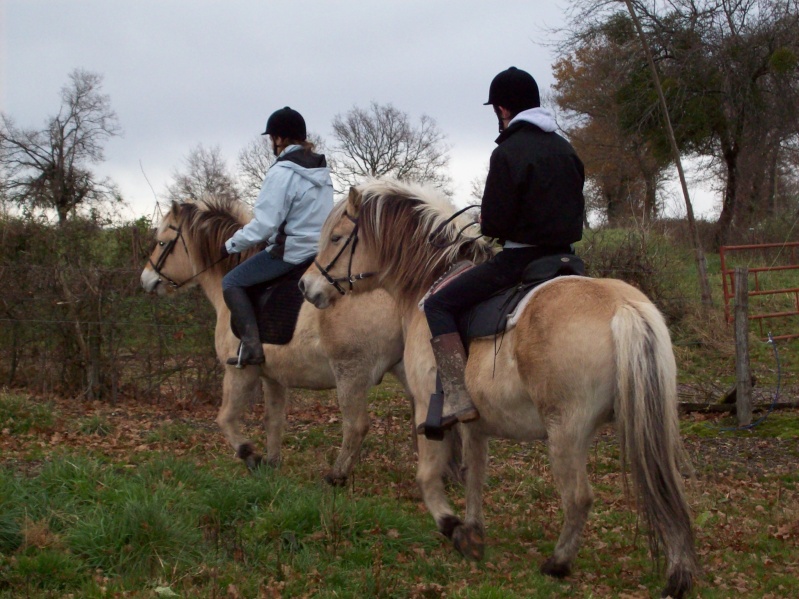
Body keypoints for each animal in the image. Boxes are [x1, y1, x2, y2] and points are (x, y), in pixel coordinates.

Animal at [141, 195, 412, 486]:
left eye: (162, 242)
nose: (145, 280)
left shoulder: (239, 372)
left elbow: (225, 419)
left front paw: (249, 454)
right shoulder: (273, 377)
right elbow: (273, 420)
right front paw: (271, 464)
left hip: (350, 373)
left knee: (356, 426)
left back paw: (335, 477)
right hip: (403, 369)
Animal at [302, 182, 700, 599]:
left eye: (336, 238)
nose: (306, 286)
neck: (428, 283)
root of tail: (622, 306)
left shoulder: (428, 409)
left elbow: (428, 477)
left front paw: (451, 525)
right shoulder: (474, 424)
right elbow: (475, 476)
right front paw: (472, 528)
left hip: (566, 432)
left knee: (578, 498)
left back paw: (558, 564)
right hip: (648, 427)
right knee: (668, 490)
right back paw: (678, 574)